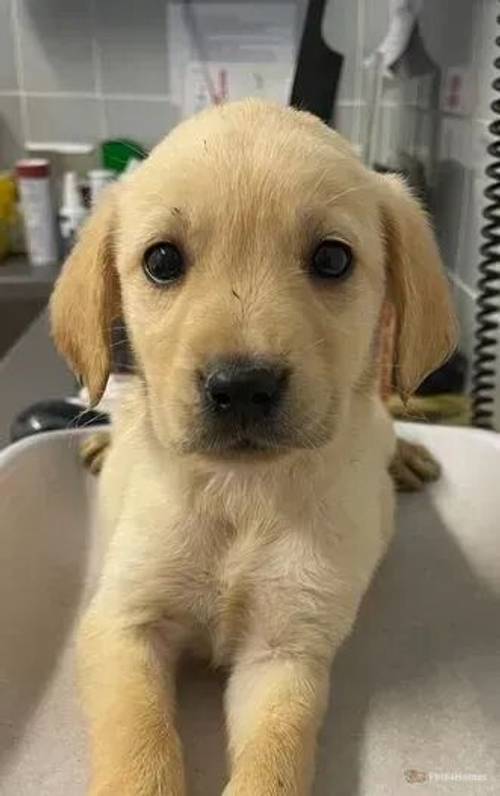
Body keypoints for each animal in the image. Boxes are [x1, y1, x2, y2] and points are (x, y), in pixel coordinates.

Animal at [50, 101, 458, 796]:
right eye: (162, 260)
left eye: (332, 260)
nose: (241, 386)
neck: (239, 491)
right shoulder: (121, 623)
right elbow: (138, 746)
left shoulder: (287, 649)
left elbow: (274, 761)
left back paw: (403, 455)